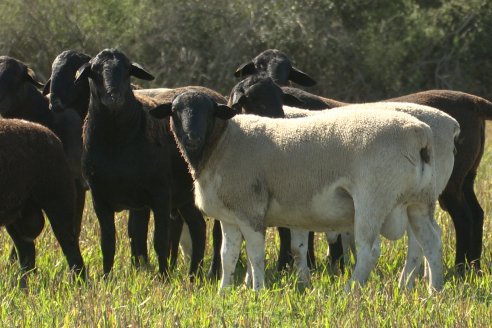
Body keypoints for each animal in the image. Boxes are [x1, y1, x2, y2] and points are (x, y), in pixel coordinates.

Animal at [0, 119, 85, 284]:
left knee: (71, 248)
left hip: (59, 205)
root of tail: (54, 139)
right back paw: (22, 285)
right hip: (16, 218)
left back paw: (78, 283)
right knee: (26, 253)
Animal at [151, 91, 450, 292]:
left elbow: (255, 254)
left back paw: (351, 290)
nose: (192, 137)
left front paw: (257, 291)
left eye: (208, 111)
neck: (222, 143)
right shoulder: (230, 216)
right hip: (419, 202)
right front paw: (224, 292)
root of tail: (420, 135)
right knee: (431, 242)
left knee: (369, 249)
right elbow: (228, 255)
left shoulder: (251, 210)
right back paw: (434, 291)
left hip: (373, 197)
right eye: (175, 111)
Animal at [235, 49, 492, 274]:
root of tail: (473, 101)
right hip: (466, 176)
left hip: (451, 181)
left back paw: (461, 268)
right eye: (257, 65)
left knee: (463, 217)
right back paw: (474, 266)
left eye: (287, 70)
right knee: (476, 213)